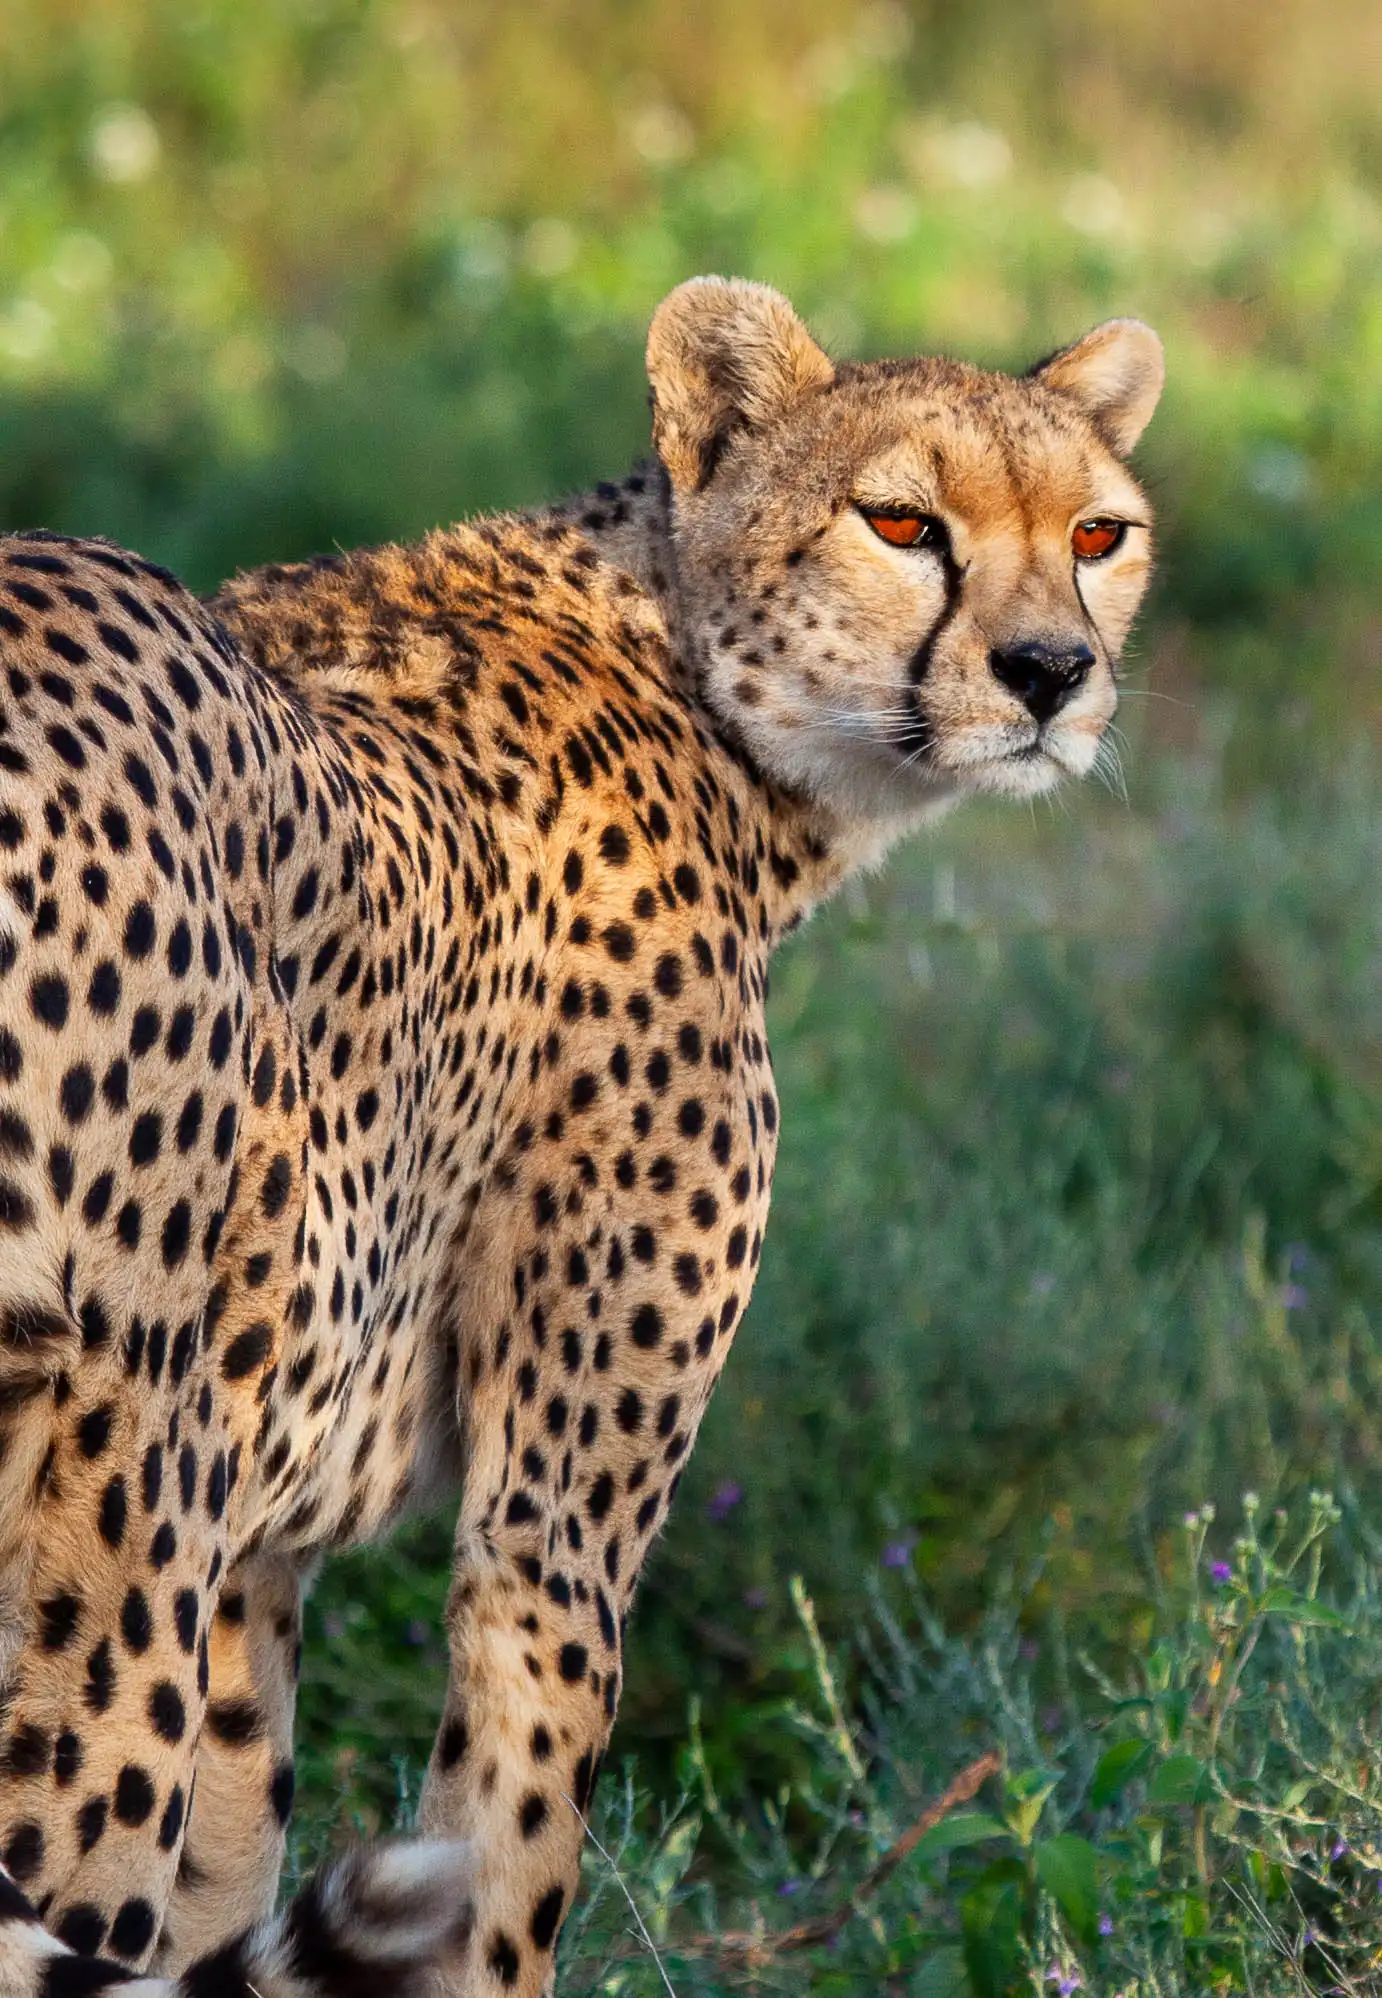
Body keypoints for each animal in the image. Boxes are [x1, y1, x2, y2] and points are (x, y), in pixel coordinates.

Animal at [0, 276, 1162, 1997]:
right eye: (899, 520)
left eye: (1095, 532)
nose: (1048, 671)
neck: (688, 668)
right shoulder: (545, 1531)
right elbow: (501, 1865)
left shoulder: (258, 1556)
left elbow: (233, 1860)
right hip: (112, 1491)